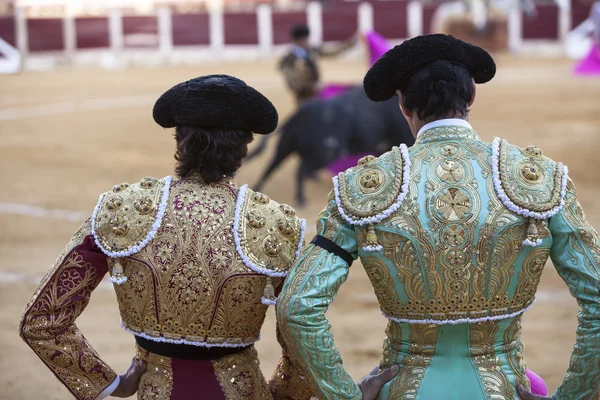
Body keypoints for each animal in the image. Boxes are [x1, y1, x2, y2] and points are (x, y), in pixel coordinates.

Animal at [246, 86, 414, 206]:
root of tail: (301, 113)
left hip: (286, 147)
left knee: (271, 167)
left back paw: (257, 189)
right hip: (324, 154)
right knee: (300, 169)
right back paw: (301, 198)